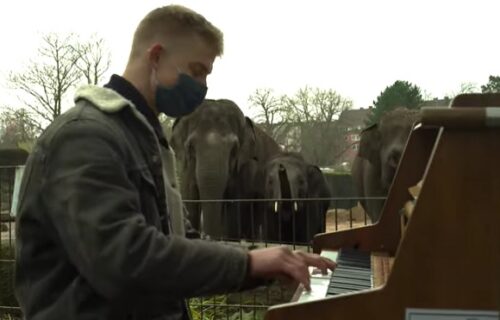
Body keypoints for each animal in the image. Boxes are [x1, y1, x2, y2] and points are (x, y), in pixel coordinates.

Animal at [171, 99, 282, 239]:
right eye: (190, 146)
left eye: (234, 149)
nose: (207, 237)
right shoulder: (186, 168)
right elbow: (190, 199)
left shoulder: (245, 168)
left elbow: (234, 208)